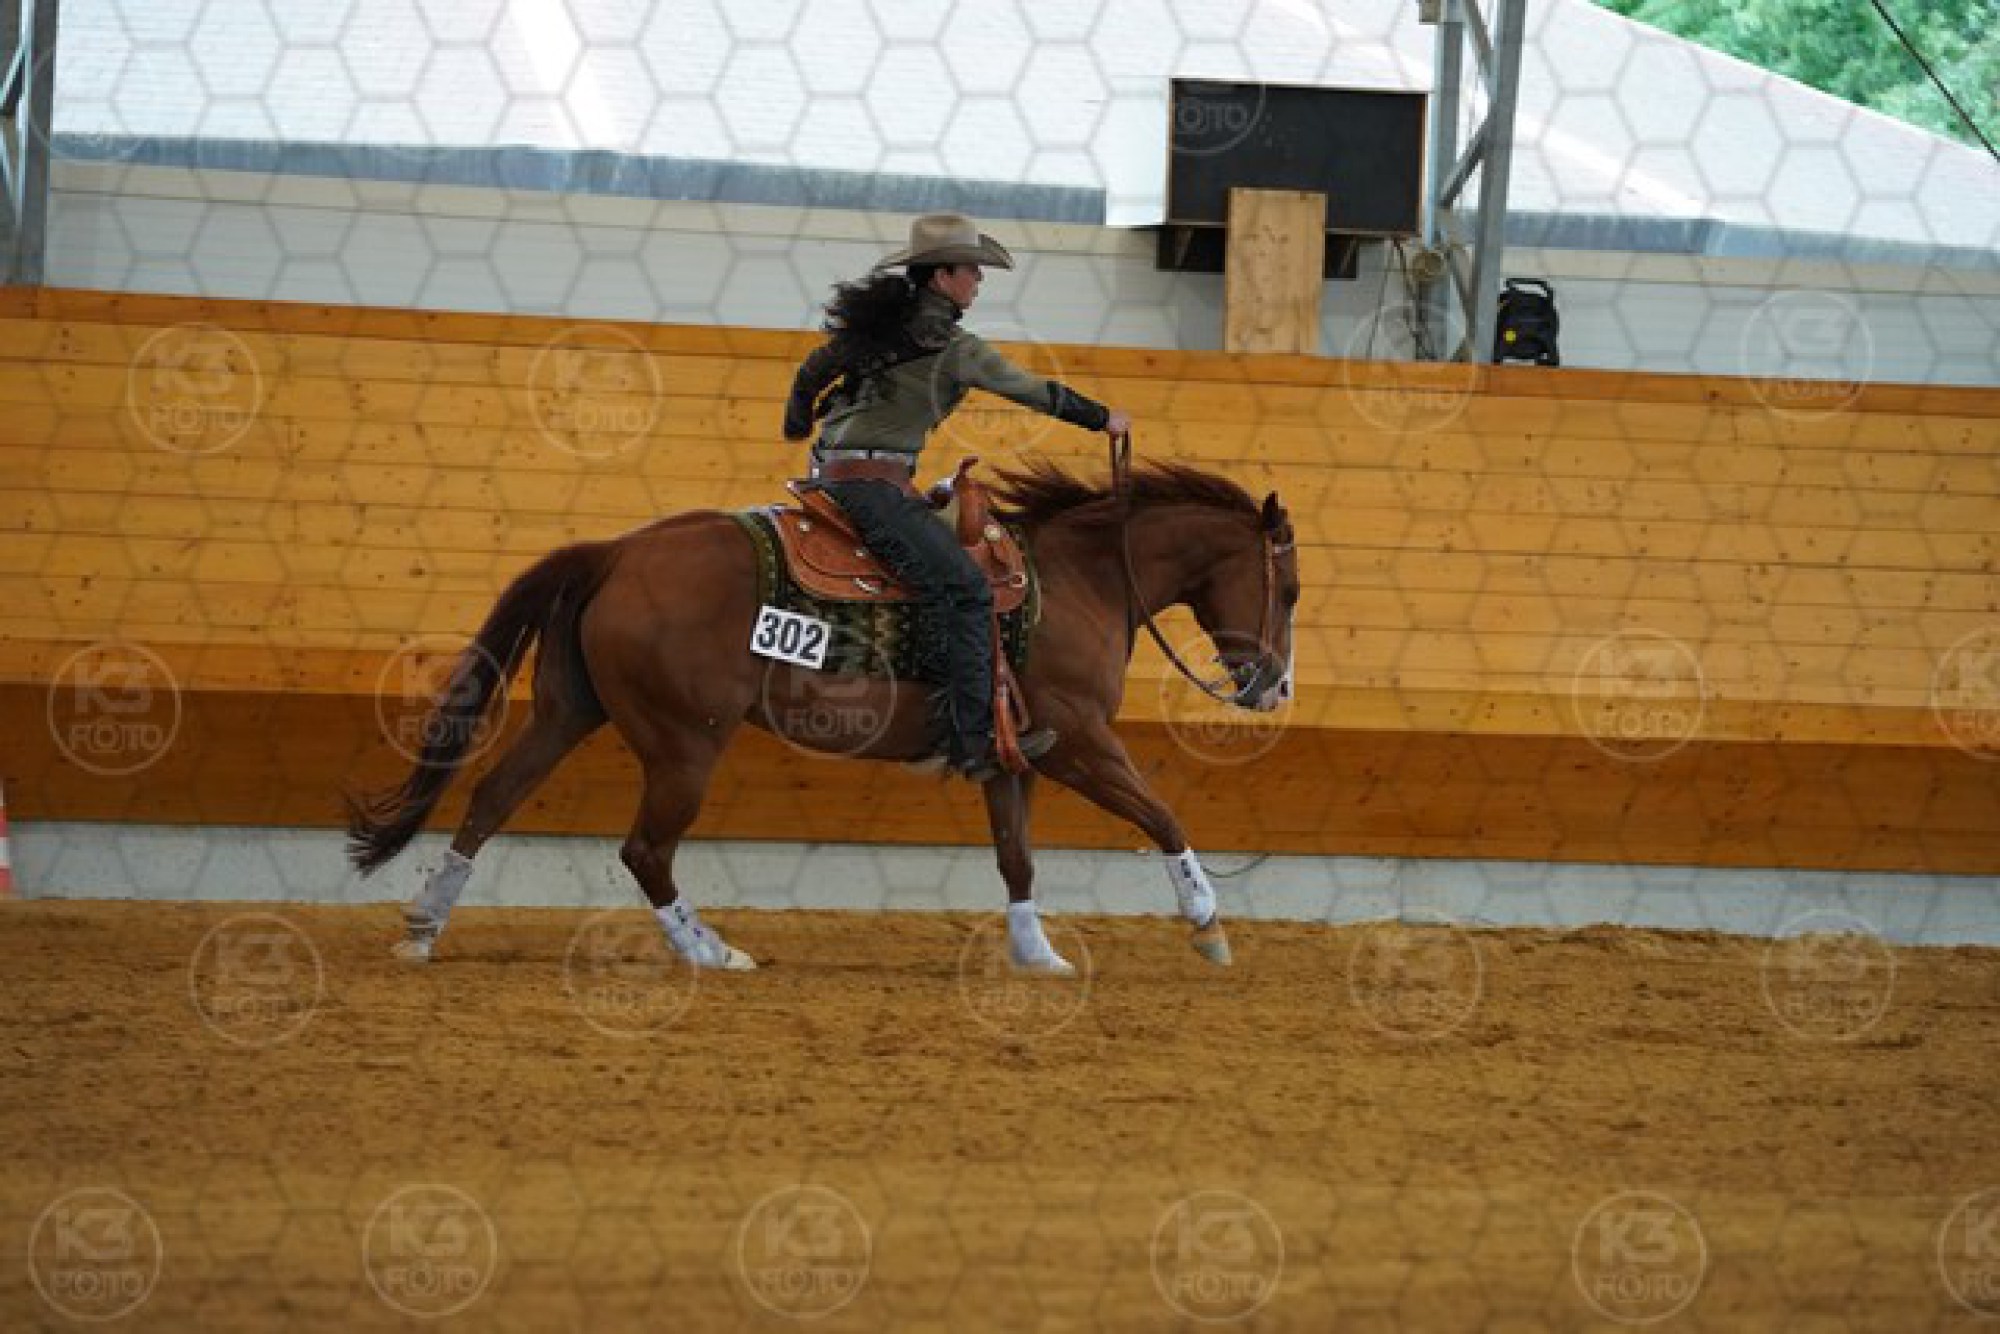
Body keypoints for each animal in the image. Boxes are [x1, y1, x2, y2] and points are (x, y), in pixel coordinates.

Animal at [345, 454, 1299, 976]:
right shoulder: (1079, 743)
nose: (1273, 689)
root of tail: (616, 551)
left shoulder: (1009, 754)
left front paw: (1038, 956)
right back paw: (710, 952)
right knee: (644, 850)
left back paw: (424, 927)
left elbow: (1018, 860)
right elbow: (1161, 815)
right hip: (683, 745)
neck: (1076, 582)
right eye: (1287, 587)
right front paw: (1209, 926)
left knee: (490, 799)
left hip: (565, 711)